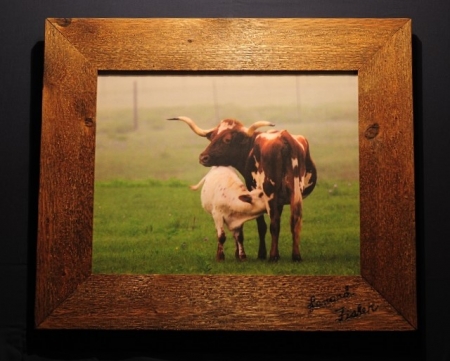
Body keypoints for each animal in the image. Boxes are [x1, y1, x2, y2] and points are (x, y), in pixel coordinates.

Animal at [167, 116, 318, 260]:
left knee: (274, 222)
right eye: (213, 136)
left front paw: (262, 254)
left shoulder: (256, 190)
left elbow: (262, 225)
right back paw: (296, 256)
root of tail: (285, 137)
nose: (203, 157)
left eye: (227, 139)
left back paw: (273, 256)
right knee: (295, 220)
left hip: (270, 191)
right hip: (296, 191)